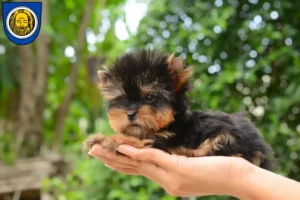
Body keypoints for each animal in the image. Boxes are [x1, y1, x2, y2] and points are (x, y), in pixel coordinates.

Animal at [83, 48, 276, 169]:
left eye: (150, 97)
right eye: (122, 99)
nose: (130, 113)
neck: (171, 122)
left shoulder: (164, 138)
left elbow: (139, 141)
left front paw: (107, 139)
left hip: (230, 137)